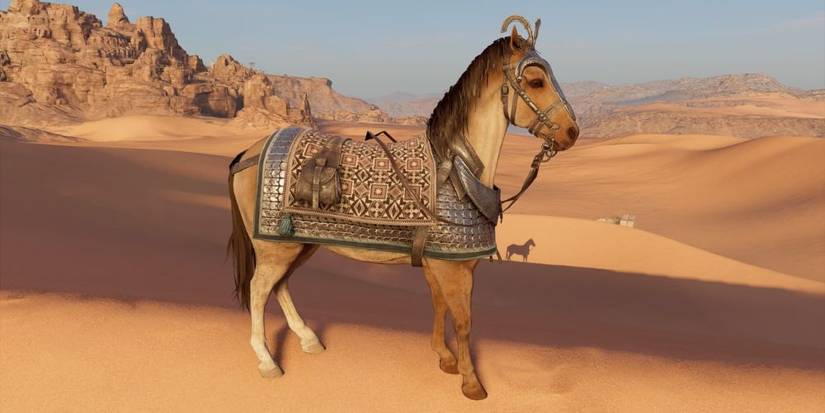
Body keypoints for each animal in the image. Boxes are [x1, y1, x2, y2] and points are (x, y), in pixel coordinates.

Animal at [227, 16, 578, 400]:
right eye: (536, 81)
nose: (572, 132)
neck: (458, 171)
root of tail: (249, 154)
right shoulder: (454, 269)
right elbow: (464, 322)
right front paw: (471, 382)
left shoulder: (437, 264)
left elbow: (439, 307)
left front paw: (445, 358)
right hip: (274, 248)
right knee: (259, 291)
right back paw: (267, 361)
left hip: (296, 246)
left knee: (280, 287)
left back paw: (308, 339)